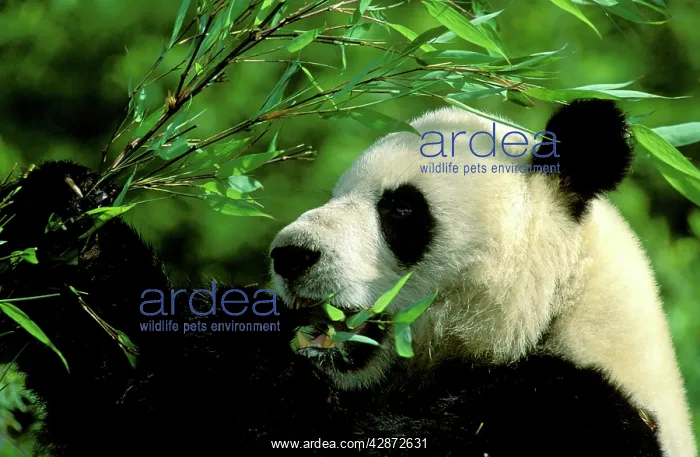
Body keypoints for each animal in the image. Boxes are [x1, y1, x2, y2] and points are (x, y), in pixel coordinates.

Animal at [0, 114, 664, 456]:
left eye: (401, 210)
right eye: (338, 193)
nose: (290, 255)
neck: (566, 304)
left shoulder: (564, 416)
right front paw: (64, 219)